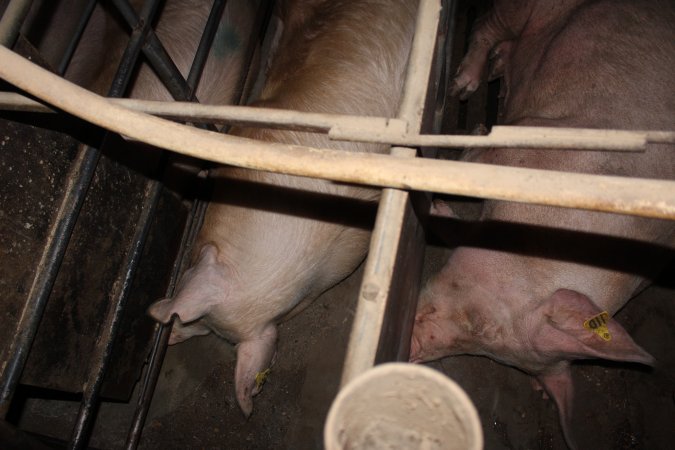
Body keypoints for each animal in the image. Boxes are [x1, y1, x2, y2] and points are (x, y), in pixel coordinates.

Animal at [410, 0, 675, 446]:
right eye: (484, 327)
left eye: (485, 345)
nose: (410, 350)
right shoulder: (526, 142)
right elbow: (475, 161)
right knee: (488, 25)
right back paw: (465, 87)